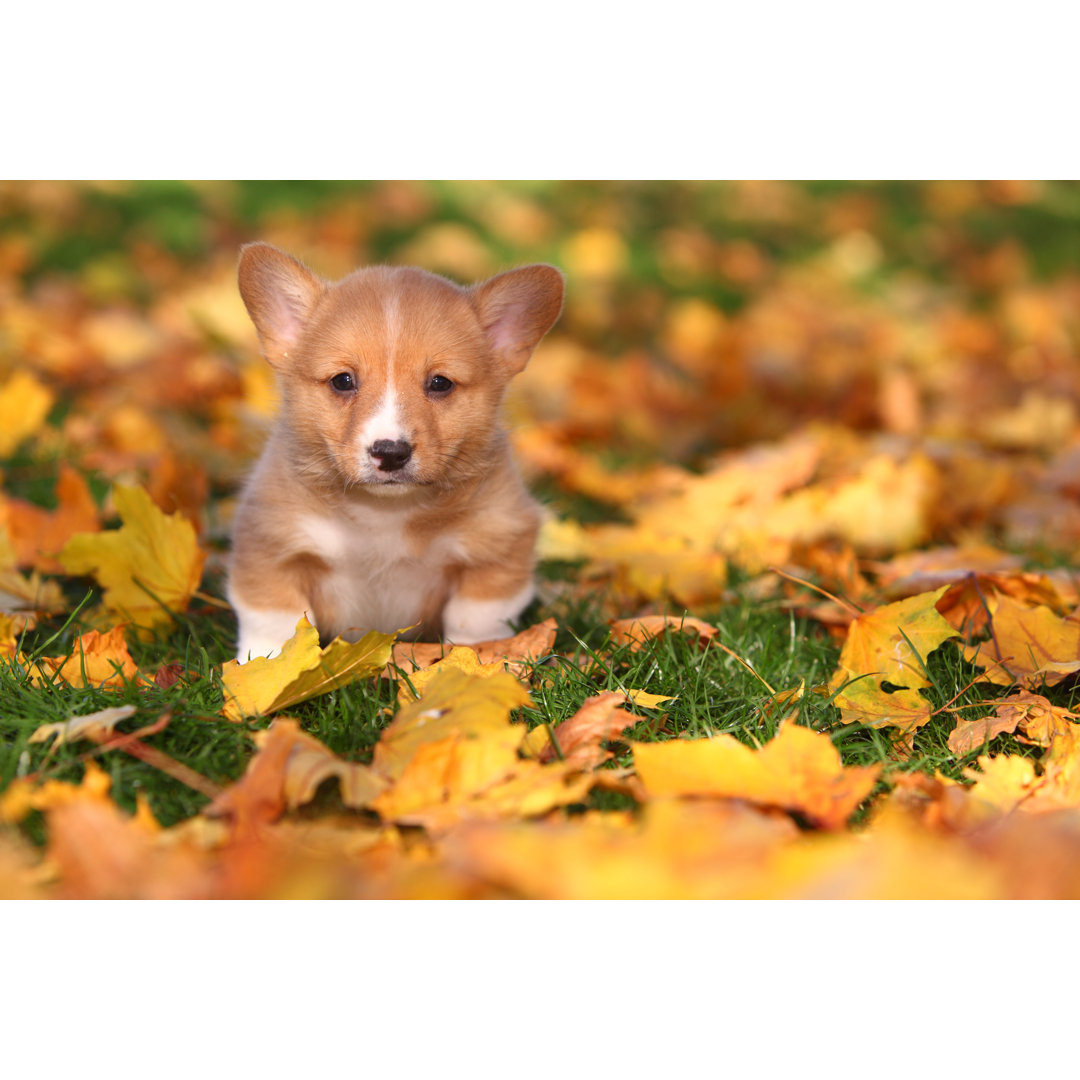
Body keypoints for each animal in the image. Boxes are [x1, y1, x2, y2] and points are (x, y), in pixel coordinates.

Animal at [225, 244, 565, 660]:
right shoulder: (270, 547)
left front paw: (475, 661)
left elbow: (475, 625)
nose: (390, 452)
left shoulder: (496, 548)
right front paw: (268, 668)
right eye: (342, 381)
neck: (384, 514)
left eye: (440, 383)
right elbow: (275, 625)